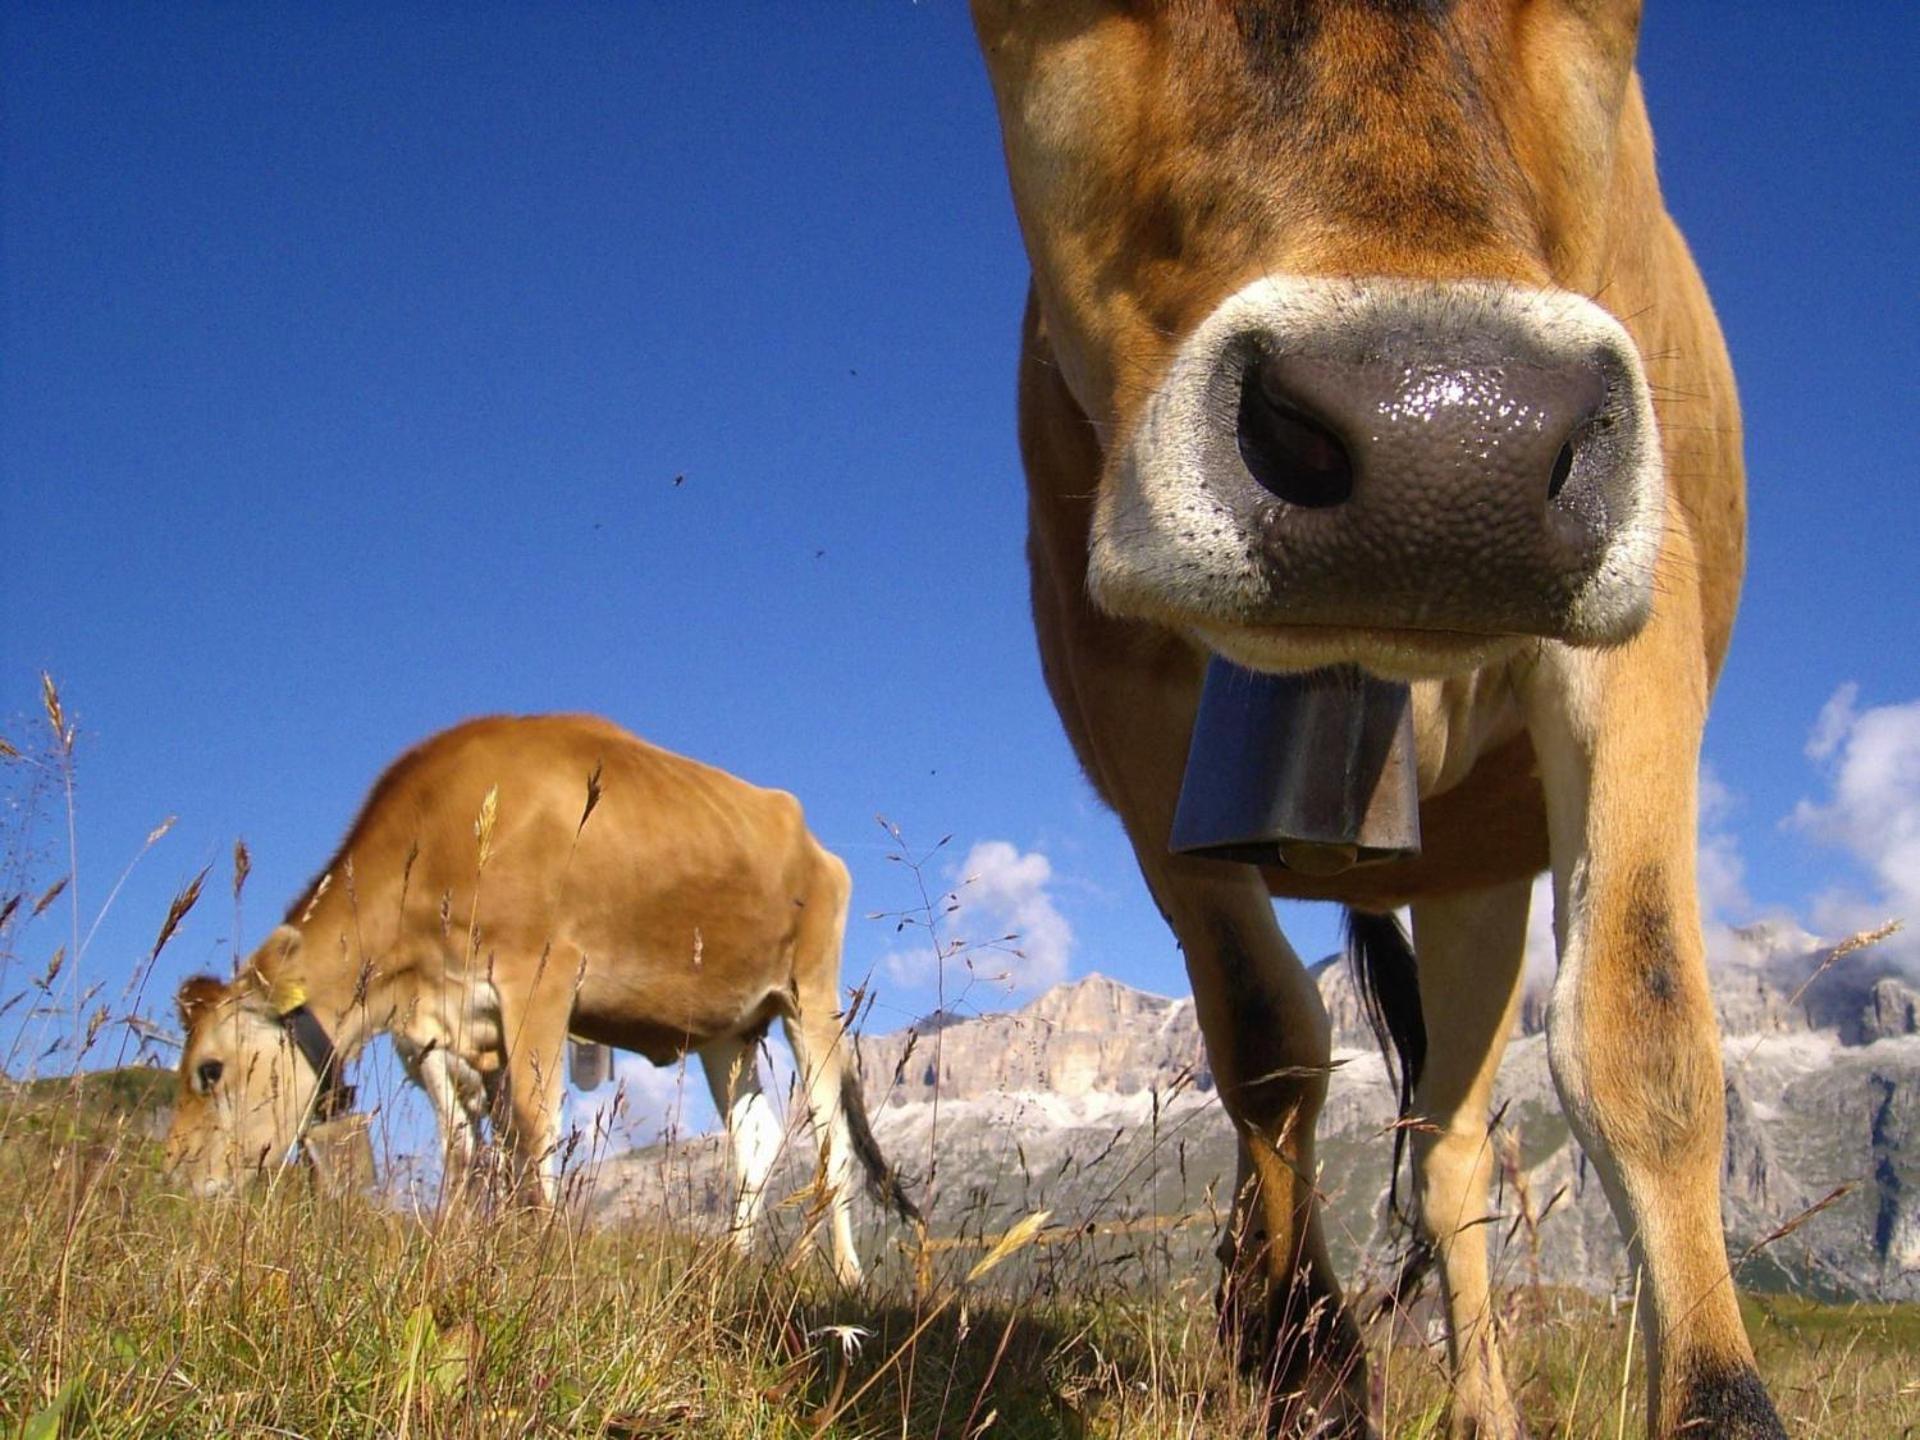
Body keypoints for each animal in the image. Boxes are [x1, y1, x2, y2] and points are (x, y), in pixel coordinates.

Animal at [163, 718, 913, 1290]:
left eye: (209, 1070)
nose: (176, 1178)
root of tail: (815, 845)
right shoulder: (432, 1035)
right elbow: (467, 1148)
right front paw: (463, 1242)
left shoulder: (541, 979)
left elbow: (535, 1129)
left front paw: (542, 1256)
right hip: (727, 1029)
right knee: (756, 1139)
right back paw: (729, 1264)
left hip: (811, 998)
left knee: (832, 1140)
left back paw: (844, 1275)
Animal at [967, 2, 1774, 1440]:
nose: (1450, 447)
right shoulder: (1130, 714)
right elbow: (1263, 1037)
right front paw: (1311, 1356)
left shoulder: (1648, 604)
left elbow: (1643, 1028)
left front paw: (1723, 1401)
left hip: (1477, 884)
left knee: (1451, 1150)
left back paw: (1481, 1407)